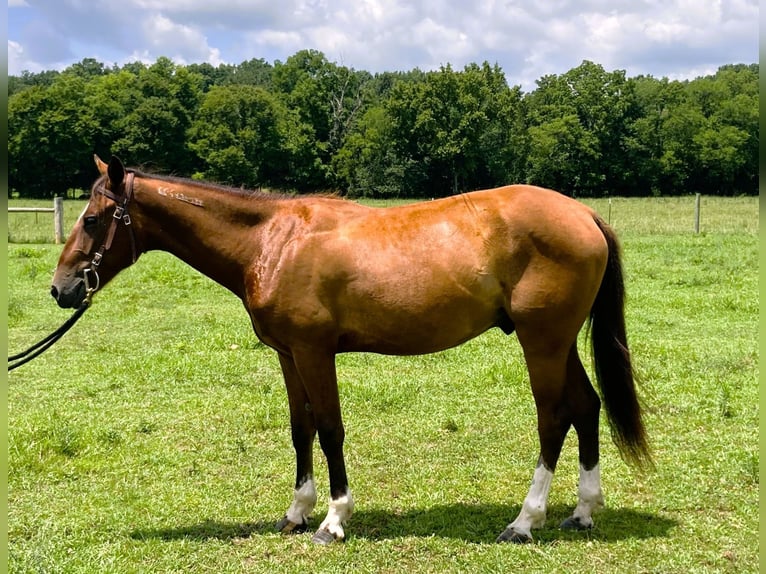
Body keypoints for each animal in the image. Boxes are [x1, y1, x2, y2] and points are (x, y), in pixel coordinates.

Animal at [51, 155, 650, 545]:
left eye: (92, 219)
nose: (62, 289)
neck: (272, 241)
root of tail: (583, 215)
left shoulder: (315, 352)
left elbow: (330, 429)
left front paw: (333, 520)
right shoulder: (288, 355)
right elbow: (301, 430)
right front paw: (296, 513)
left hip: (541, 341)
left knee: (554, 417)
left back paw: (525, 521)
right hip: (558, 342)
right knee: (587, 406)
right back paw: (582, 511)